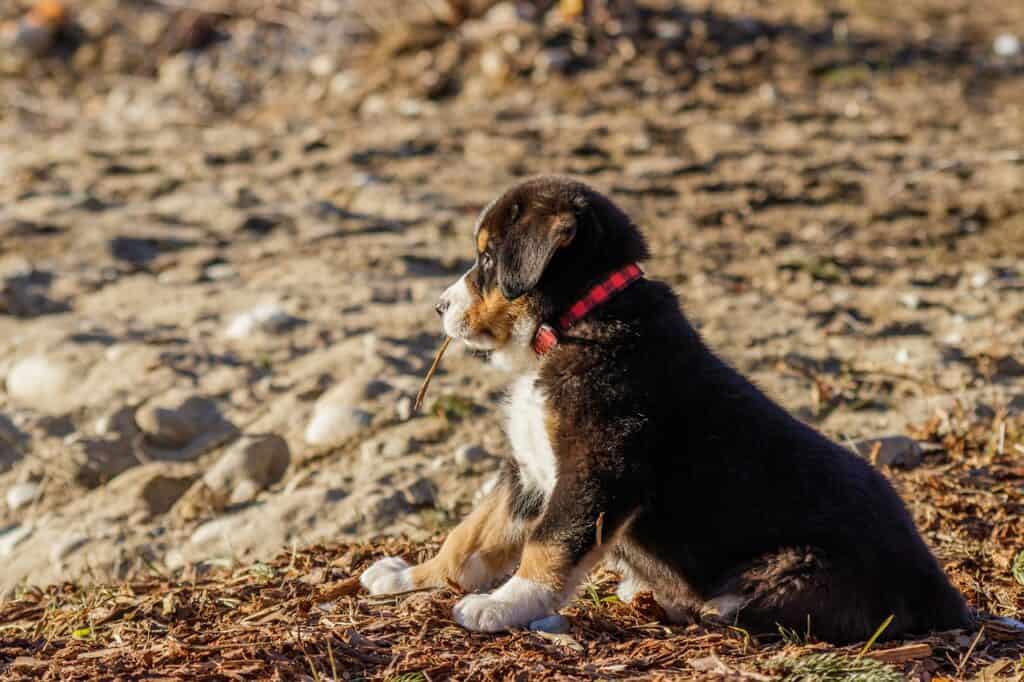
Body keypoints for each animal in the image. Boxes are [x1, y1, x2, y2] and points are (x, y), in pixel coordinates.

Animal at [364, 174, 970, 638]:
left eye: (488, 258)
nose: (438, 306)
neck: (573, 325)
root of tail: (942, 591)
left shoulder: (598, 468)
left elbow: (547, 542)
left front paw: (504, 604)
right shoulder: (528, 474)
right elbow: (470, 535)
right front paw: (408, 576)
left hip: (804, 569)